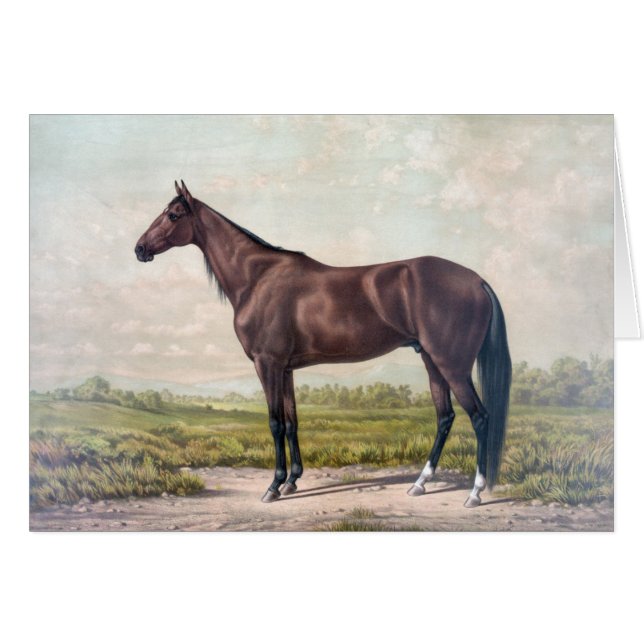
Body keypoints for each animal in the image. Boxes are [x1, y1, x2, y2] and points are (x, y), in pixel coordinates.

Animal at [135, 181, 512, 507]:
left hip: (452, 365)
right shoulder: (285, 369)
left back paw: (475, 493)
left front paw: (273, 486)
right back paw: (420, 483)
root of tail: (476, 280)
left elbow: (274, 423)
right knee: (445, 417)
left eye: (173, 215)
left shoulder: (267, 364)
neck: (257, 279)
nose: (139, 248)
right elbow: (291, 422)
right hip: (432, 361)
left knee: (479, 417)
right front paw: (291, 481)